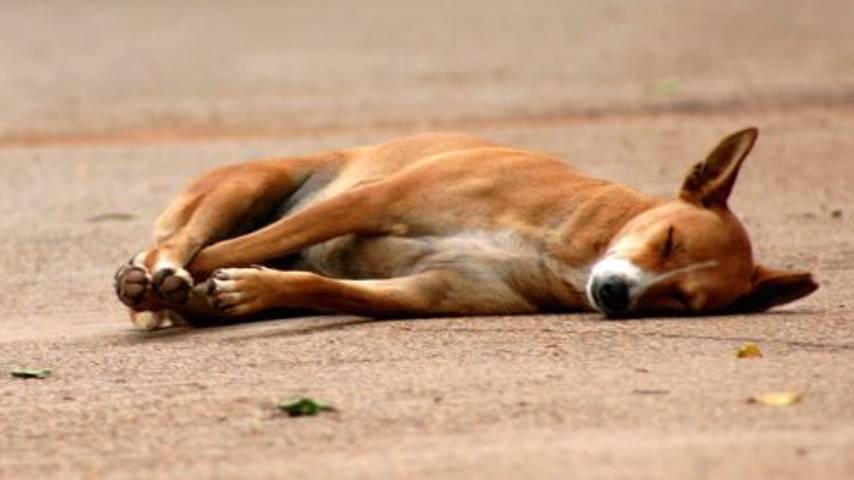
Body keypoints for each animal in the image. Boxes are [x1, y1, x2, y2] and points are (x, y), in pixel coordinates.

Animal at [112, 127, 816, 330]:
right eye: (668, 239)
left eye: (681, 302)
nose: (614, 294)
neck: (563, 245)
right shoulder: (372, 201)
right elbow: (238, 247)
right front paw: (164, 281)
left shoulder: (428, 292)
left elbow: (325, 287)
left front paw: (256, 289)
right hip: (248, 185)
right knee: (185, 241)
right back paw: (153, 276)